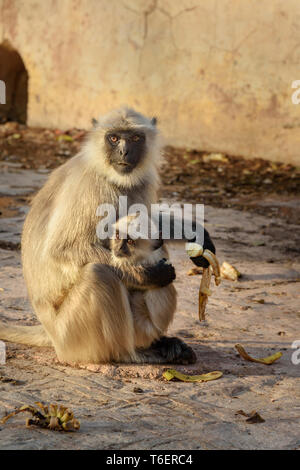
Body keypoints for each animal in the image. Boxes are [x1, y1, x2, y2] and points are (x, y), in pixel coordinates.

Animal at [0, 107, 204, 368]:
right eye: (114, 138)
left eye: (135, 138)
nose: (124, 151)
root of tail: (49, 333)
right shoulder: (92, 188)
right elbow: (62, 249)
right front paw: (147, 275)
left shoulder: (140, 183)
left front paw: (195, 232)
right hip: (70, 336)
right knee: (98, 274)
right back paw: (129, 354)